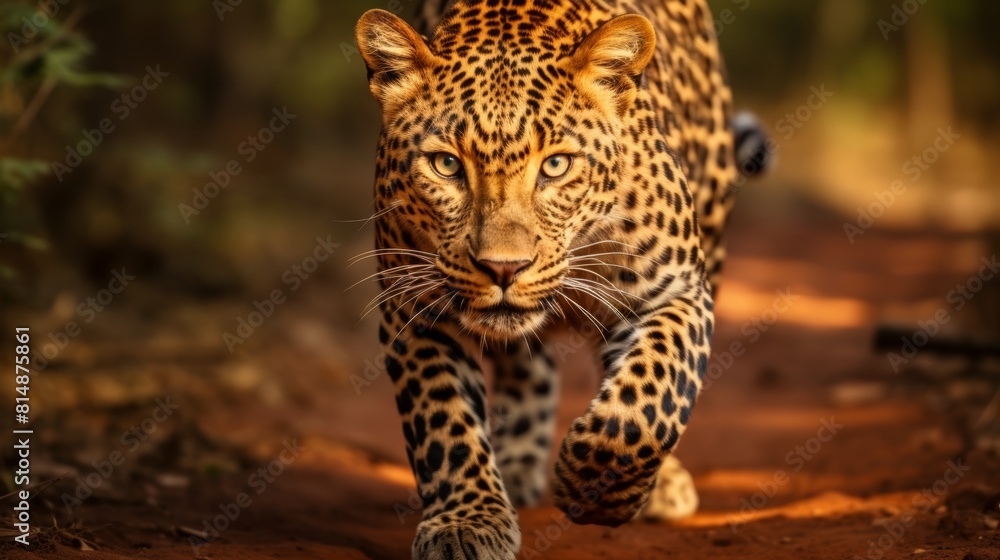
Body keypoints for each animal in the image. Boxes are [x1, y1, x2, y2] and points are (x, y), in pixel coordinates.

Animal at [353, 1, 767, 558]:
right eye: (445, 165)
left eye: (555, 165)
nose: (503, 268)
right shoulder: (413, 310)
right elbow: (444, 422)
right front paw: (465, 523)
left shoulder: (676, 293)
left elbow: (652, 396)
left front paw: (595, 488)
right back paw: (518, 460)